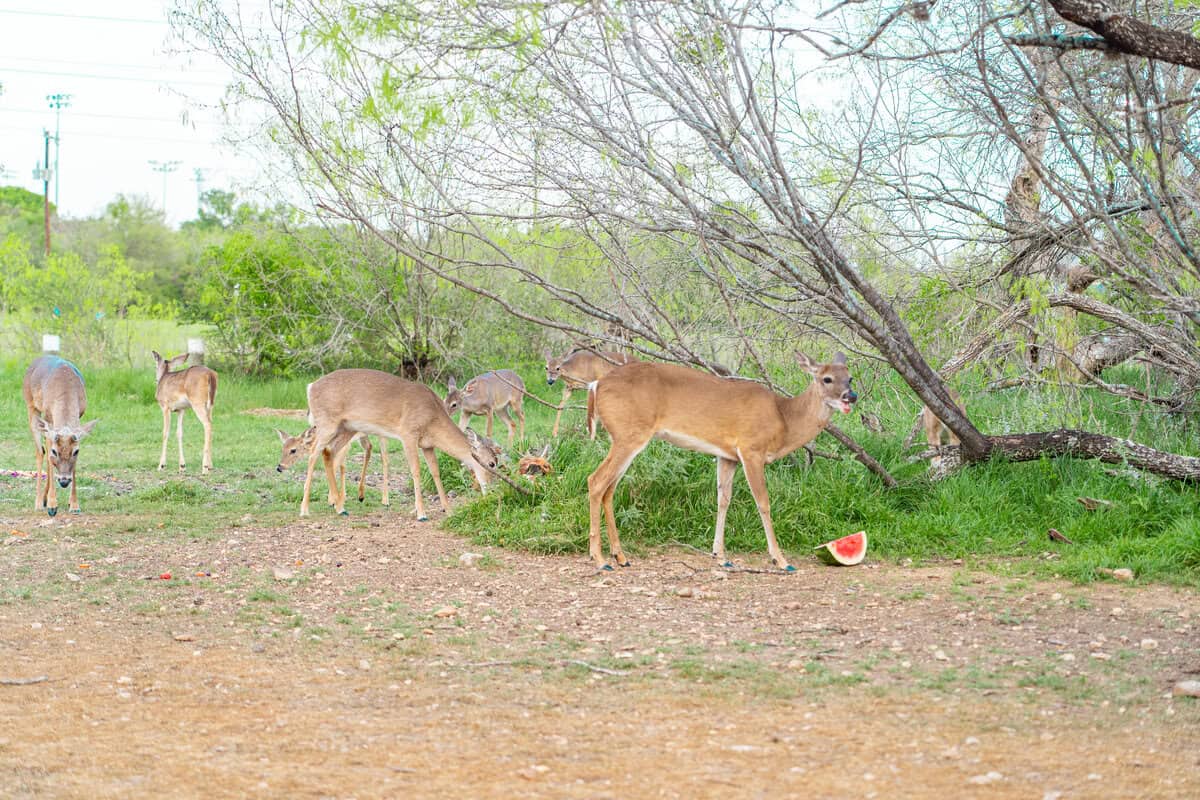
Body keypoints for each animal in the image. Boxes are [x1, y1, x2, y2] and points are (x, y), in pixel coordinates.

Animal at [21, 355, 99, 515]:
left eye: (76, 451)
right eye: (55, 451)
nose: (64, 481)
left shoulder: (79, 416)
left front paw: (74, 505)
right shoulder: (49, 418)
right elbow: (49, 459)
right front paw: (52, 505)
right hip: (31, 406)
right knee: (40, 452)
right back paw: (39, 502)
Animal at [302, 369, 504, 520]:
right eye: (492, 463)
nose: (492, 490)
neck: (432, 416)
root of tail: (310, 387)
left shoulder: (427, 445)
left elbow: (435, 472)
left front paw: (448, 509)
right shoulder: (408, 435)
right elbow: (415, 470)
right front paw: (421, 513)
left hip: (346, 428)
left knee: (328, 453)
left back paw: (340, 507)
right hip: (327, 423)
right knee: (312, 454)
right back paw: (305, 509)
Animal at [585, 352, 859, 573]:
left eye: (850, 377)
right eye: (826, 379)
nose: (851, 396)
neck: (784, 419)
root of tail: (596, 384)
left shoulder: (727, 456)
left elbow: (723, 499)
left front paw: (720, 556)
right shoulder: (751, 449)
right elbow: (763, 502)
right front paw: (780, 560)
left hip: (625, 436)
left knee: (609, 488)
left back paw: (620, 556)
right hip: (629, 434)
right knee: (596, 481)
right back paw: (600, 559)